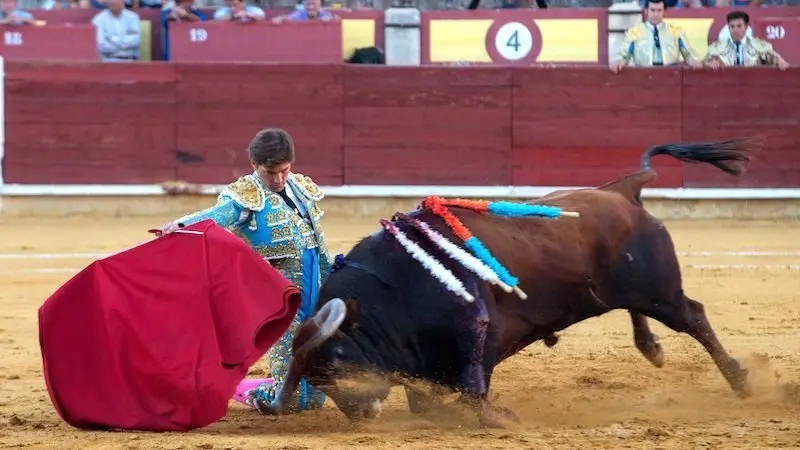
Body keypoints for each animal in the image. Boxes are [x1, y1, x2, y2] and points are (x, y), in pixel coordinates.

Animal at [260, 139, 760, 428]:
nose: (361, 414)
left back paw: (740, 381)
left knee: (694, 318)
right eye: (314, 378)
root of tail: (621, 190)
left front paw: (499, 417)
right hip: (631, 290)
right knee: (639, 310)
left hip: (660, 290)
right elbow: (427, 397)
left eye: (337, 358)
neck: (393, 289)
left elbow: (473, 387)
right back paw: (652, 348)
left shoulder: (477, 328)